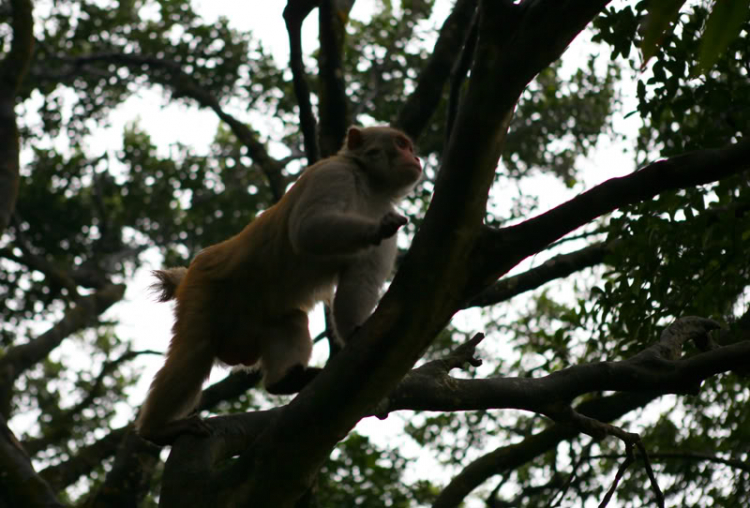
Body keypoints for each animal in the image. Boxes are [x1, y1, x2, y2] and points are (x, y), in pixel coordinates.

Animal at [135, 125, 424, 442]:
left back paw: (284, 381)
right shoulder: (333, 175)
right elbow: (307, 229)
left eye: (409, 146)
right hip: (203, 287)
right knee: (193, 352)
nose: (416, 157)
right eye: (401, 144)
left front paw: (354, 332)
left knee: (290, 319)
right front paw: (374, 228)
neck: (370, 185)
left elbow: (361, 280)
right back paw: (156, 429)